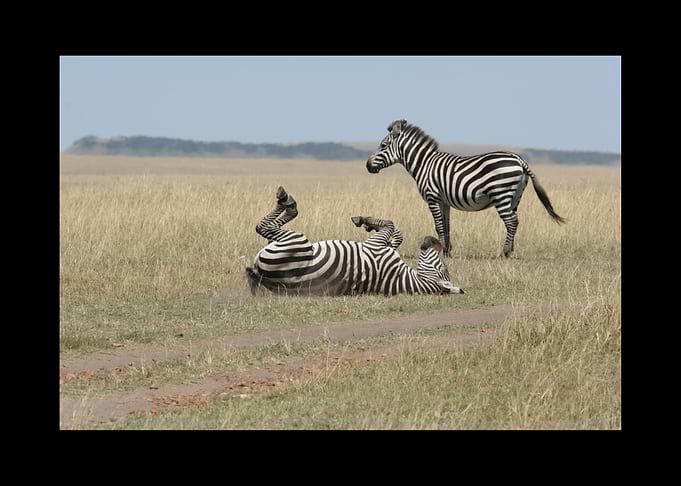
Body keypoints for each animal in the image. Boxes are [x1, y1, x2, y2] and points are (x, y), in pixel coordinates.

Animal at [245, 186, 464, 296]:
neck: (403, 278)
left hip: (297, 242)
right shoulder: (384, 247)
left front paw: (364, 220)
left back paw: (287, 201)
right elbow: (396, 234)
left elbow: (390, 224)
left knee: (263, 227)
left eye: (442, 267)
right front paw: (368, 224)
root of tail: (263, 276)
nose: (432, 240)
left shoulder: (376, 247)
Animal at [366, 119, 566, 257]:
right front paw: (447, 251)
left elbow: (438, 226)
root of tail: (520, 160)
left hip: (501, 194)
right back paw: (510, 250)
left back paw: (505, 253)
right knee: (515, 221)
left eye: (383, 145)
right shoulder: (444, 201)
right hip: (515, 196)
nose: (367, 166)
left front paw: (441, 252)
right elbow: (446, 226)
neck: (424, 164)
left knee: (511, 222)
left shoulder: (432, 198)